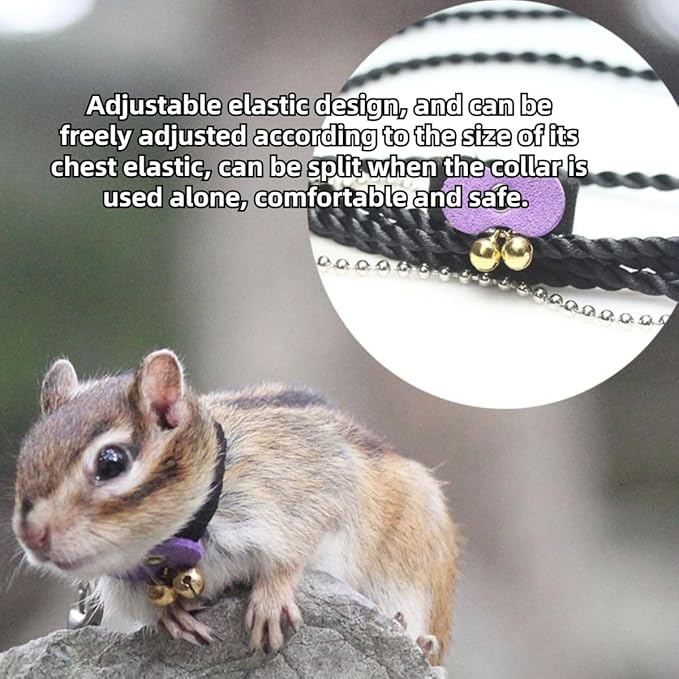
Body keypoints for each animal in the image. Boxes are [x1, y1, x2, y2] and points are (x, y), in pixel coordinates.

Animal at [12, 349, 459, 669]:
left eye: (111, 462)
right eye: (26, 454)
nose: (31, 536)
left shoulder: (319, 487)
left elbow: (299, 545)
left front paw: (271, 597)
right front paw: (170, 615)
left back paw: (417, 637)